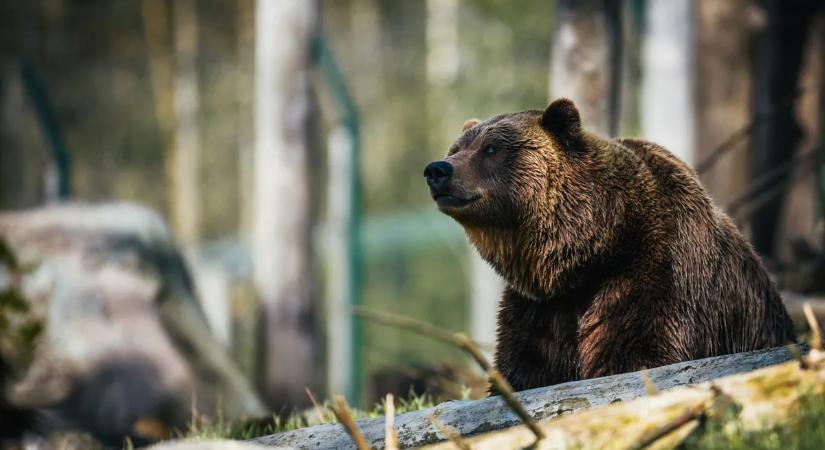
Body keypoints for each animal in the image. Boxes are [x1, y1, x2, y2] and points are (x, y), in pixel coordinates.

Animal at [423, 98, 795, 392]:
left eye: (491, 149)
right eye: (456, 149)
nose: (437, 169)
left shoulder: (656, 274)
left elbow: (638, 353)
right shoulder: (539, 308)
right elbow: (524, 368)